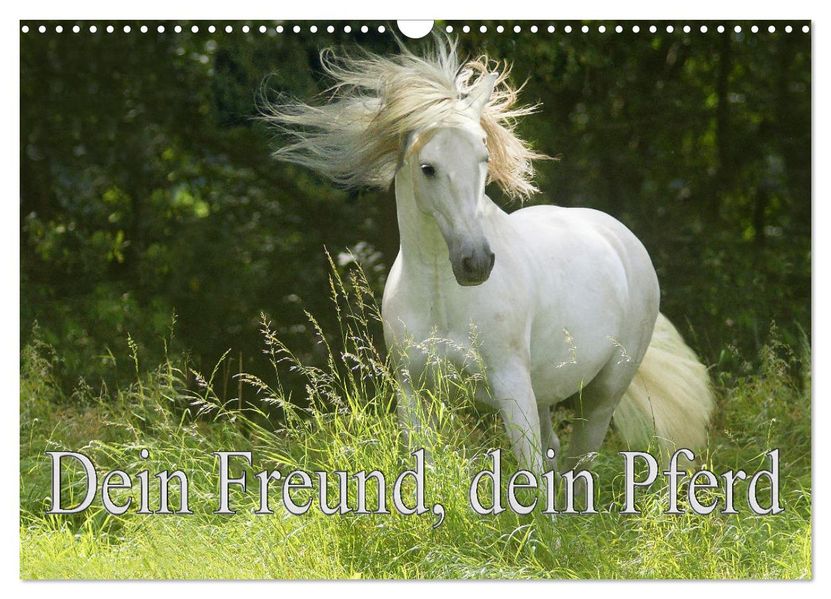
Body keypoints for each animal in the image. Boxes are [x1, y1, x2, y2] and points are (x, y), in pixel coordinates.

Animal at [264, 39, 714, 474]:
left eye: (483, 157)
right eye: (428, 167)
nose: (475, 263)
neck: (441, 297)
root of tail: (621, 237)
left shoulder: (510, 384)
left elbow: (529, 474)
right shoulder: (413, 391)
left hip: (602, 394)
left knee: (579, 460)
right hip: (546, 392)